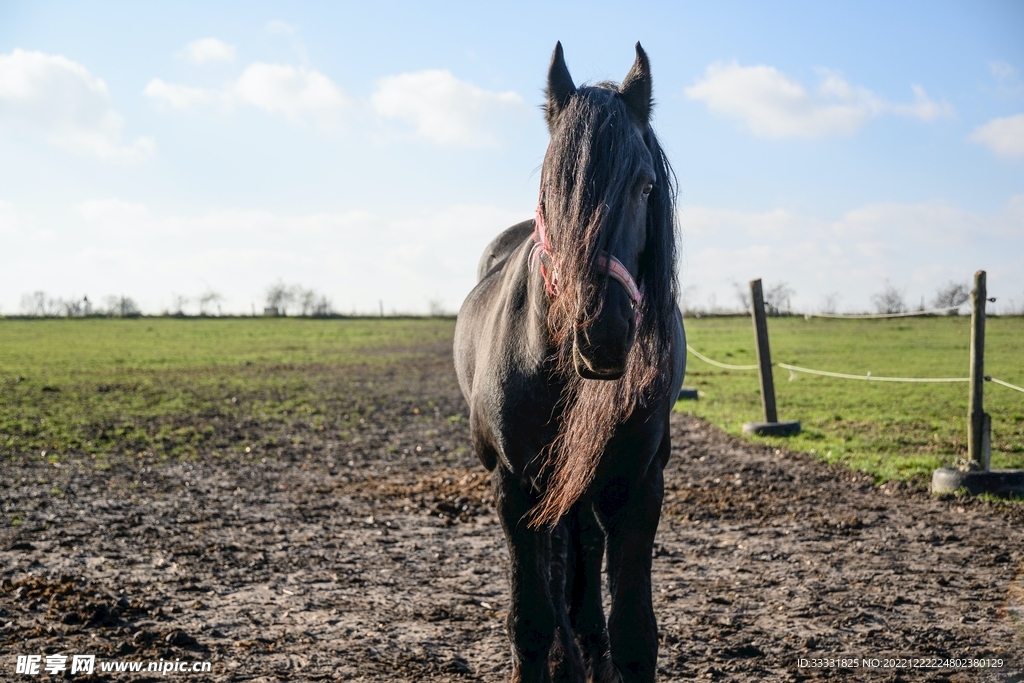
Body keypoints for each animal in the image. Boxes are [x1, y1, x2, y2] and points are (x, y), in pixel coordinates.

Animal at [453, 42, 685, 683]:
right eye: (551, 185)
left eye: (645, 187)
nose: (600, 334)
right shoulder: (515, 488)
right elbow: (530, 620)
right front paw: (553, 654)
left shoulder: (638, 486)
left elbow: (635, 633)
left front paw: (602, 648)